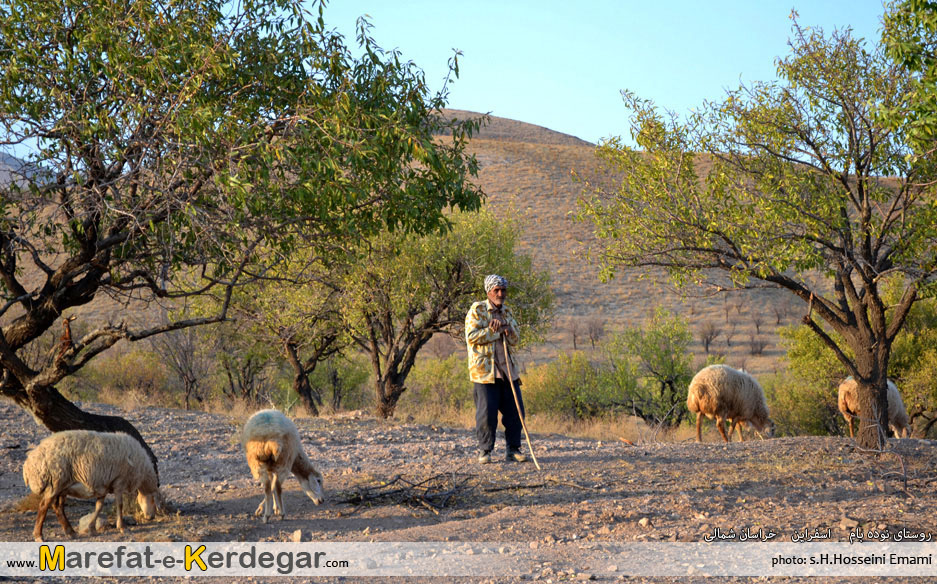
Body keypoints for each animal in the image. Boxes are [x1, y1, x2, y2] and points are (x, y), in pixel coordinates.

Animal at [21, 428, 159, 544]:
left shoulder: (104, 485)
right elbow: (119, 505)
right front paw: (122, 527)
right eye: (153, 499)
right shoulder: (119, 482)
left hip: (62, 486)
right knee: (44, 506)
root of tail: (28, 464)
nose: (151, 517)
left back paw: (70, 532)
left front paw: (91, 528)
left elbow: (99, 507)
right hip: (55, 481)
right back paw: (39, 535)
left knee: (57, 507)